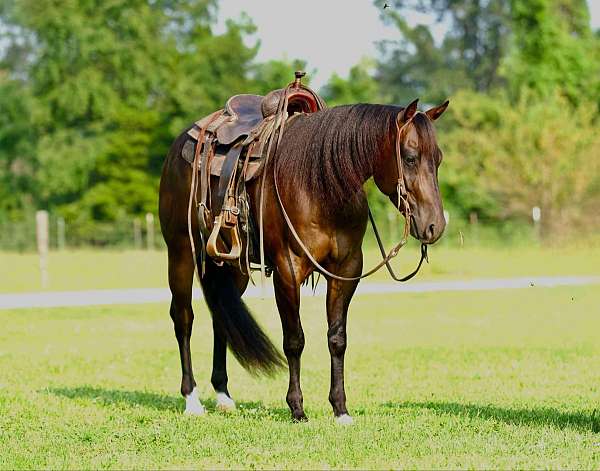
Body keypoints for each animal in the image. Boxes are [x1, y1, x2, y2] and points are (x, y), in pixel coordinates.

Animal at [157, 74, 448, 424]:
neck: (319, 184)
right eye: (410, 157)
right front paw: (297, 408)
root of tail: (182, 141)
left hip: (232, 264)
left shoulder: (346, 269)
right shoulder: (288, 269)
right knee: (183, 318)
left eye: (438, 159)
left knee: (221, 316)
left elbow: (337, 339)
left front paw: (340, 409)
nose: (435, 225)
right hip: (181, 251)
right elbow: (294, 339)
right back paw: (192, 399)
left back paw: (224, 396)